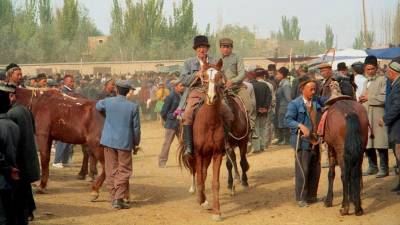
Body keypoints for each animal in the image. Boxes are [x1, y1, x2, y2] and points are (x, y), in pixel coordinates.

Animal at [180, 60, 227, 221]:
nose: (212, 97)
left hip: (207, 156)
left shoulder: (217, 154)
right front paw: (201, 200)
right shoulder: (198, 153)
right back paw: (200, 197)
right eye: (204, 77)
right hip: (194, 155)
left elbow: (215, 183)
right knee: (196, 172)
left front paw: (217, 212)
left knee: (204, 173)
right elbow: (200, 178)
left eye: (219, 76)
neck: (209, 123)